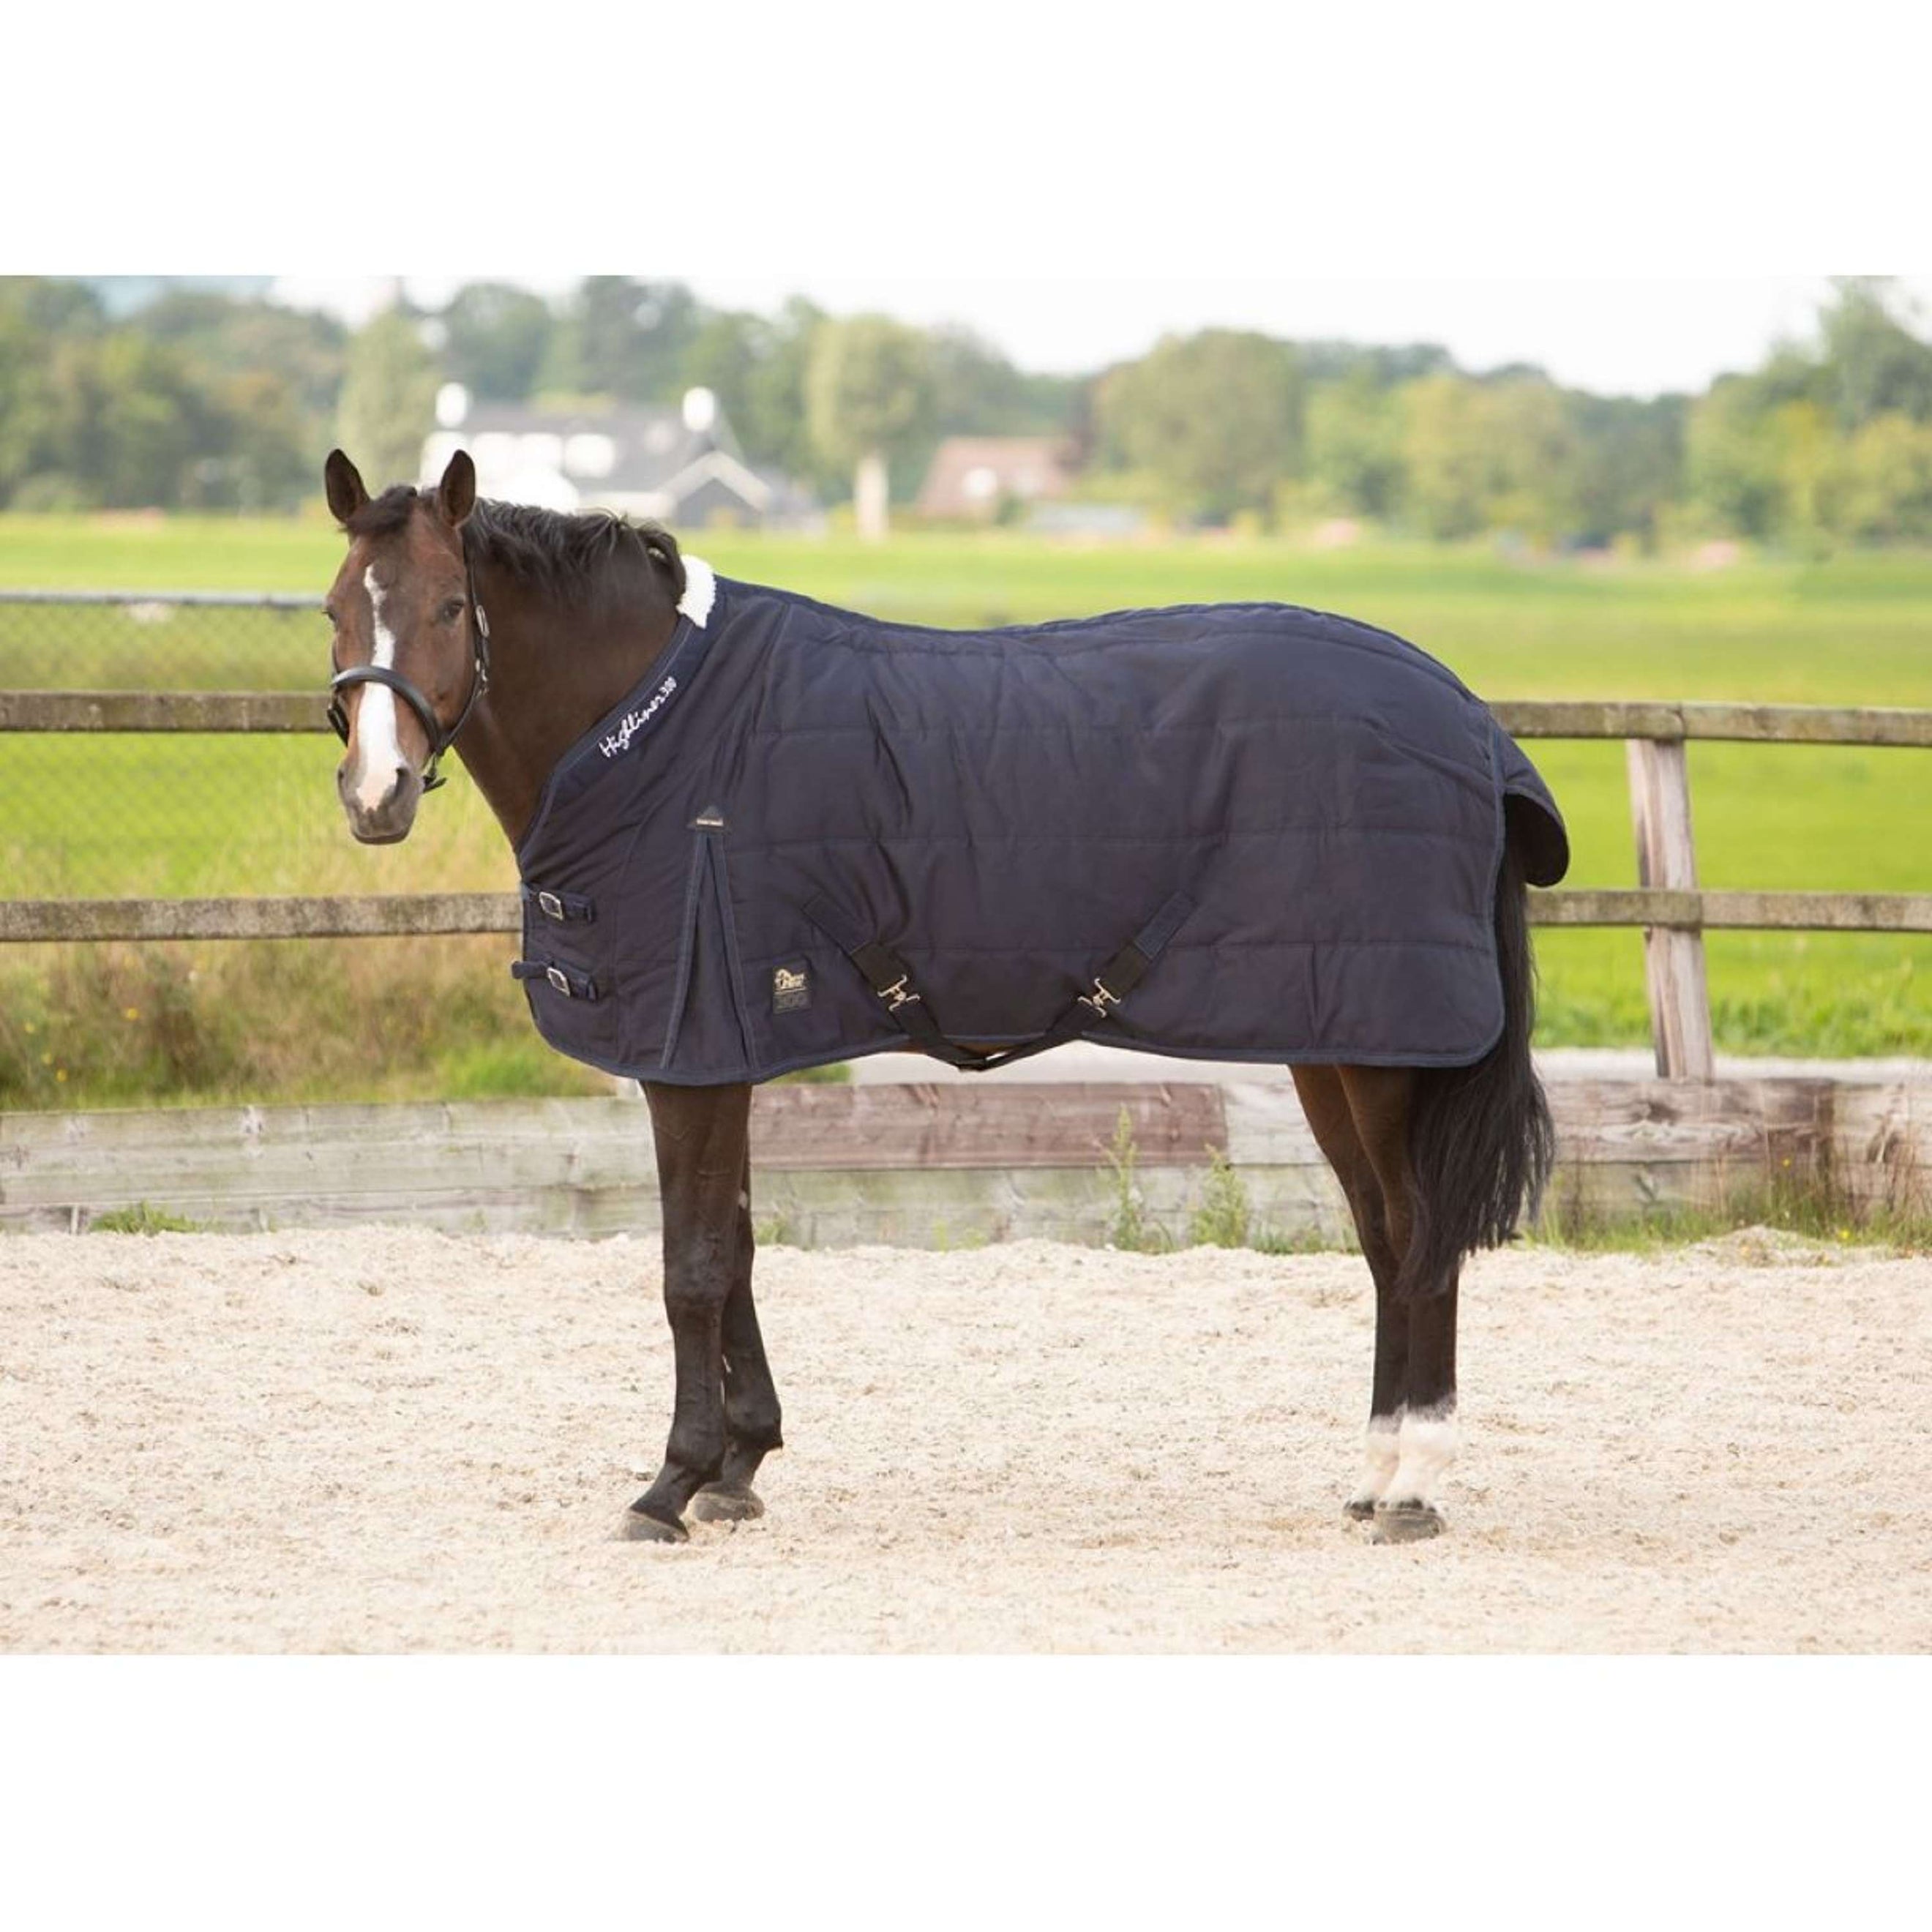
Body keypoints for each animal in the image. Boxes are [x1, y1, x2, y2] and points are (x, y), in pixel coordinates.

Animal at [321, 446, 1566, 1546]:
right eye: (335, 609)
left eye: (448, 608)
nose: (376, 795)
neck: (661, 728)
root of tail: (1467, 721)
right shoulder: (723, 1049)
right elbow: (741, 1249)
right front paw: (740, 1465)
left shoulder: (694, 1055)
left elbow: (693, 1268)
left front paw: (672, 1483)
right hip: (1333, 1043)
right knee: (1385, 1242)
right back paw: (1375, 1479)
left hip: (1386, 1053)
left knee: (1419, 1243)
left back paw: (1414, 1488)